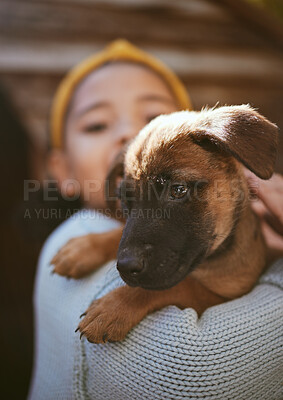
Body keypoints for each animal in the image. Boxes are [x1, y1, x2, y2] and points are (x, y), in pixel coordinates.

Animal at [51, 105, 280, 344]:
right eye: (124, 200)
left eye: (178, 190)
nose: (125, 266)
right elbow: (121, 233)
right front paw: (84, 248)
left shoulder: (225, 293)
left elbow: (175, 286)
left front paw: (114, 306)